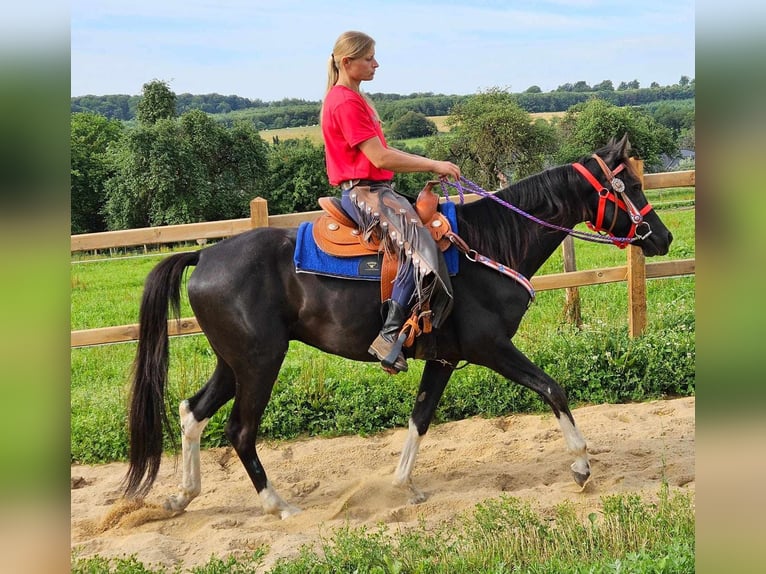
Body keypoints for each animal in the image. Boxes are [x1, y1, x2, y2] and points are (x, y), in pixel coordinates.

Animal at [124, 137, 672, 520]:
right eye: (628, 186)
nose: (662, 237)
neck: (489, 245)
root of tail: (205, 255)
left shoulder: (445, 357)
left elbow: (420, 418)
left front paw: (403, 485)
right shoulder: (491, 347)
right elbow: (553, 389)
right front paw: (581, 465)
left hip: (234, 361)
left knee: (192, 412)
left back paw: (182, 496)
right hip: (260, 362)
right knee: (240, 430)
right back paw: (278, 505)